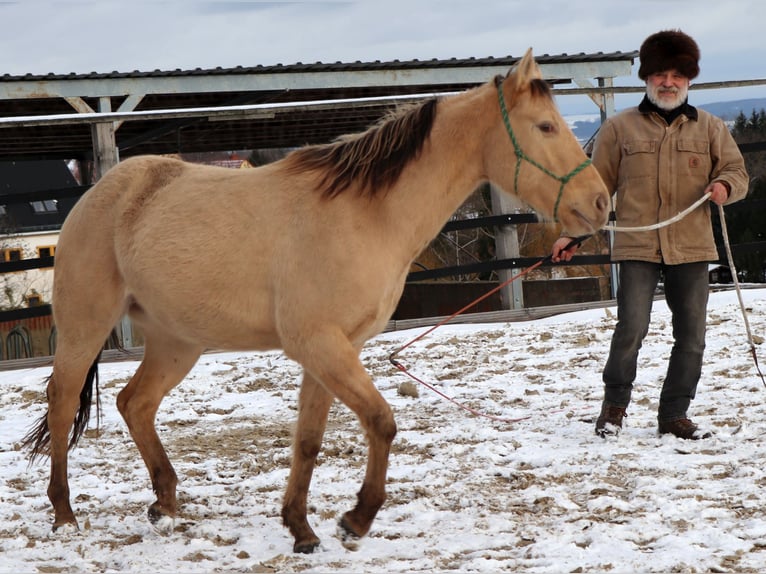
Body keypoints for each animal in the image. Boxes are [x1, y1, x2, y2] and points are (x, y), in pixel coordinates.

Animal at [24, 50, 608, 560]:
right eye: (545, 127)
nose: (601, 202)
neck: (366, 214)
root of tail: (100, 194)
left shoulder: (330, 350)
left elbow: (308, 440)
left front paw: (301, 529)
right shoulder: (322, 344)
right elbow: (381, 421)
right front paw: (356, 519)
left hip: (177, 341)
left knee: (135, 403)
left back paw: (164, 503)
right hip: (85, 328)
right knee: (62, 403)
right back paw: (65, 516)